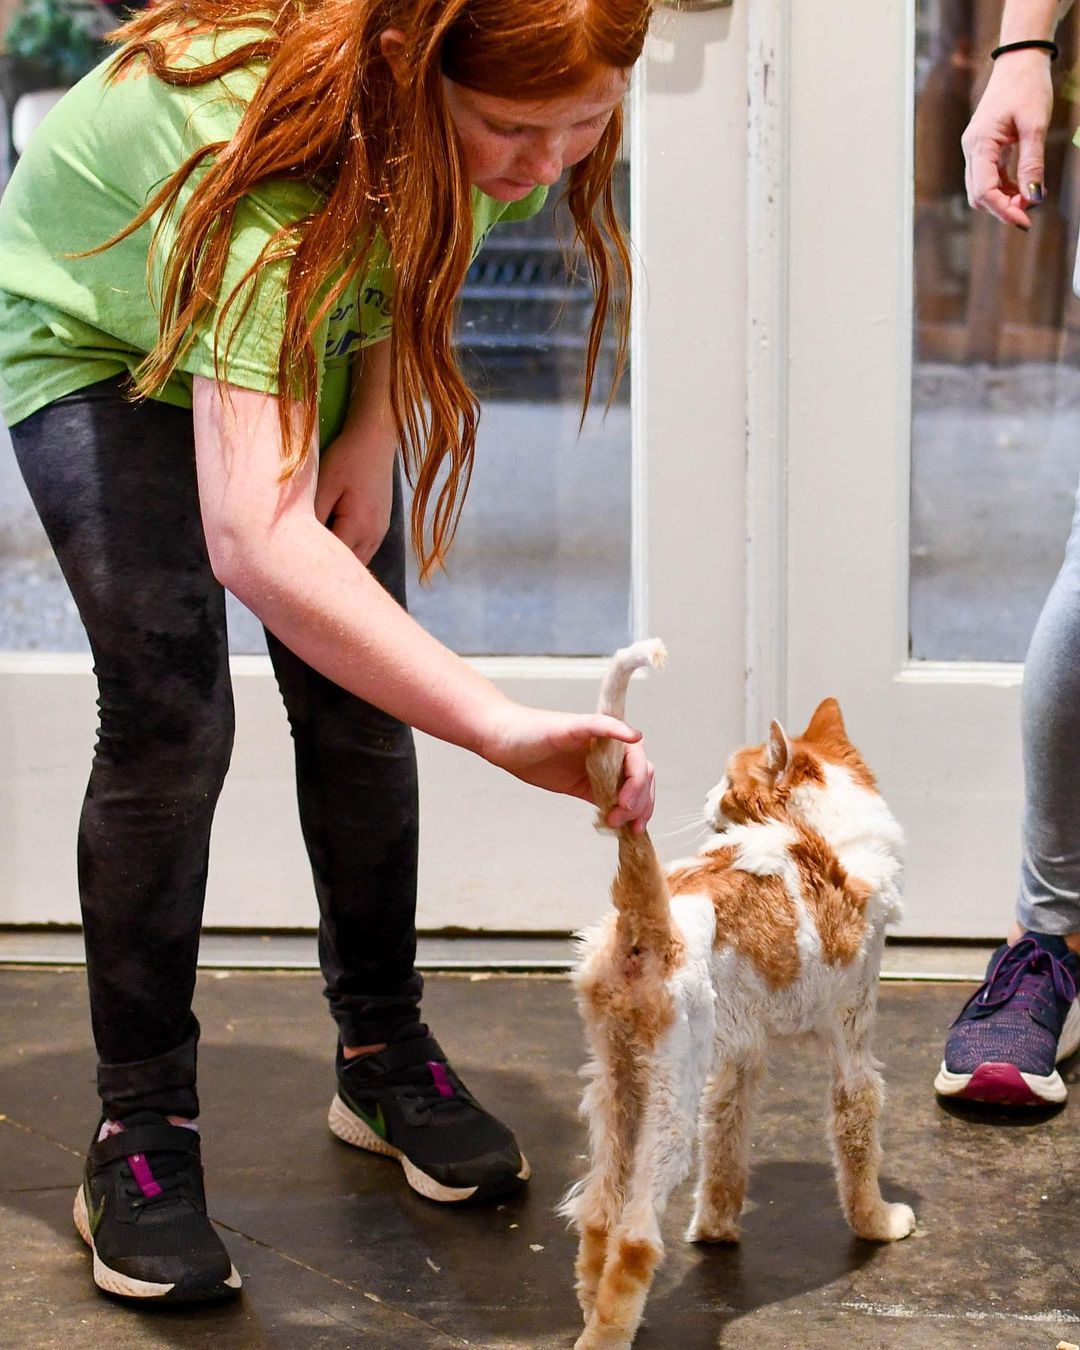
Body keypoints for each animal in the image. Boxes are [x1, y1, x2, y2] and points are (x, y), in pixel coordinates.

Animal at [561, 642, 918, 1350]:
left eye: (726, 780)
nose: (704, 800)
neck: (829, 838)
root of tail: (653, 925)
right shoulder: (854, 1048)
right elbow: (859, 1137)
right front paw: (878, 1223)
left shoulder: (737, 1060)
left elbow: (726, 1146)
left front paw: (717, 1230)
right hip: (667, 1105)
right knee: (636, 1237)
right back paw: (605, 1336)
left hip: (616, 1089)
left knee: (598, 1213)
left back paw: (592, 1307)